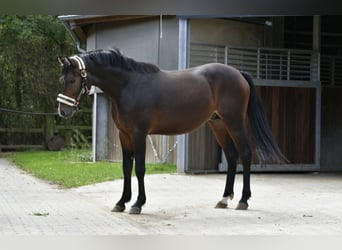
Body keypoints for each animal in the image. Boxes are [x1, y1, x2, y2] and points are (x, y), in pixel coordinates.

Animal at [56, 49, 286, 215]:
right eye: (62, 80)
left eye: (73, 80)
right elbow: (126, 168)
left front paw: (137, 204)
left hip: (234, 122)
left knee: (245, 154)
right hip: (218, 124)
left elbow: (139, 168)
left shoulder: (139, 134)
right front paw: (121, 202)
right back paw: (223, 199)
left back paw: (243, 200)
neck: (129, 85)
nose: (63, 111)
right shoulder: (124, 135)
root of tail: (238, 73)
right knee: (231, 156)